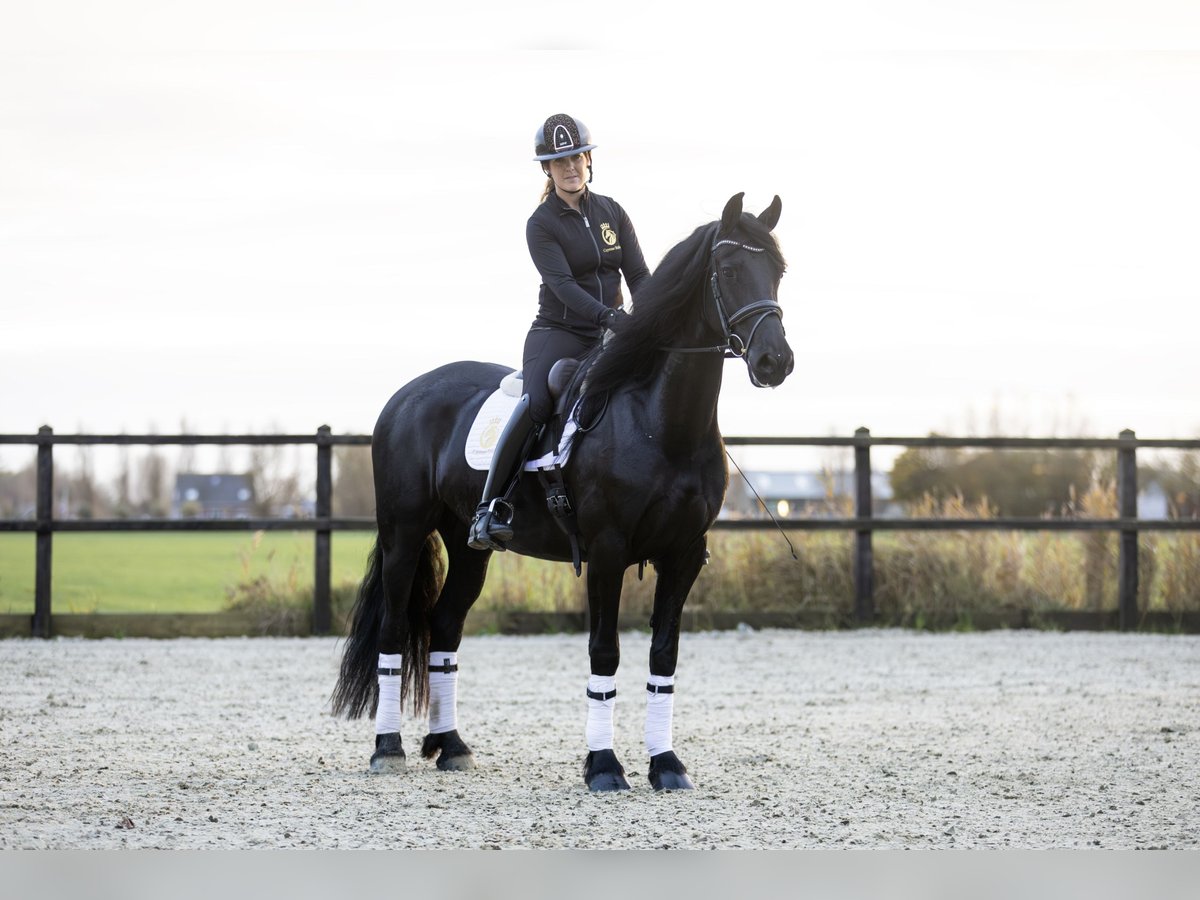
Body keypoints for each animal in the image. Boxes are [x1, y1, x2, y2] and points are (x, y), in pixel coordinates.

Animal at [333, 190, 792, 787]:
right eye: (731, 270)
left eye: (778, 271)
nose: (775, 361)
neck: (659, 421)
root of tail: (405, 395)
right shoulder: (607, 552)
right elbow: (604, 652)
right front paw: (604, 766)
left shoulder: (684, 554)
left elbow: (663, 656)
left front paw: (666, 764)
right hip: (403, 535)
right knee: (392, 629)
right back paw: (387, 749)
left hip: (468, 546)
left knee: (444, 627)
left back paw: (451, 745)